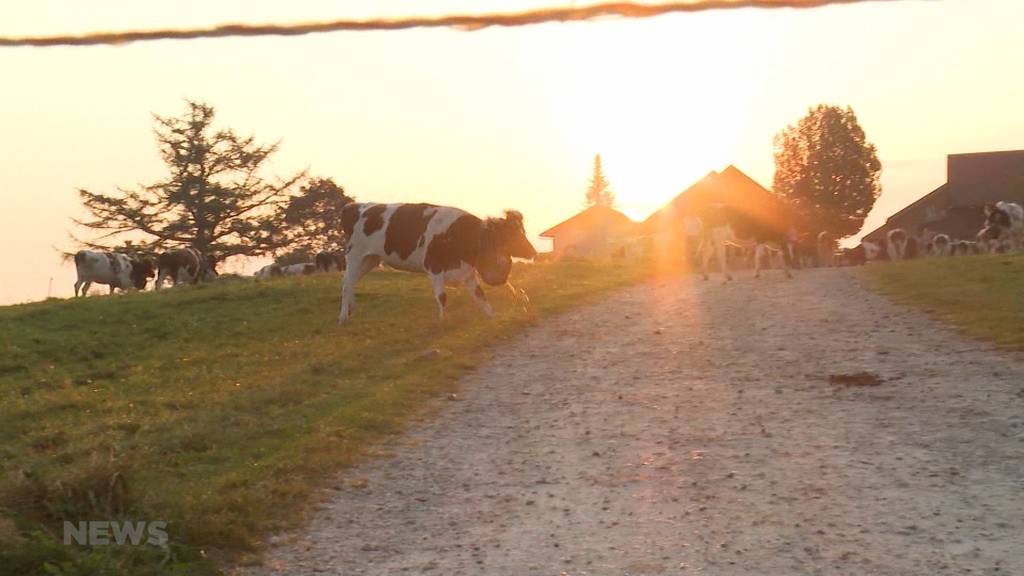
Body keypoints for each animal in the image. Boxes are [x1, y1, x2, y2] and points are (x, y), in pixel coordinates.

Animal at [339, 201, 540, 319]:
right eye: (512, 234)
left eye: (522, 231)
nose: (533, 252)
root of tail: (353, 206)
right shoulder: (433, 266)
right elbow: (442, 297)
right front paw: (443, 321)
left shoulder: (466, 271)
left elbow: (480, 295)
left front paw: (492, 316)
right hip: (355, 255)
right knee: (347, 284)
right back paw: (343, 318)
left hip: (370, 259)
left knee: (350, 283)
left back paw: (351, 309)